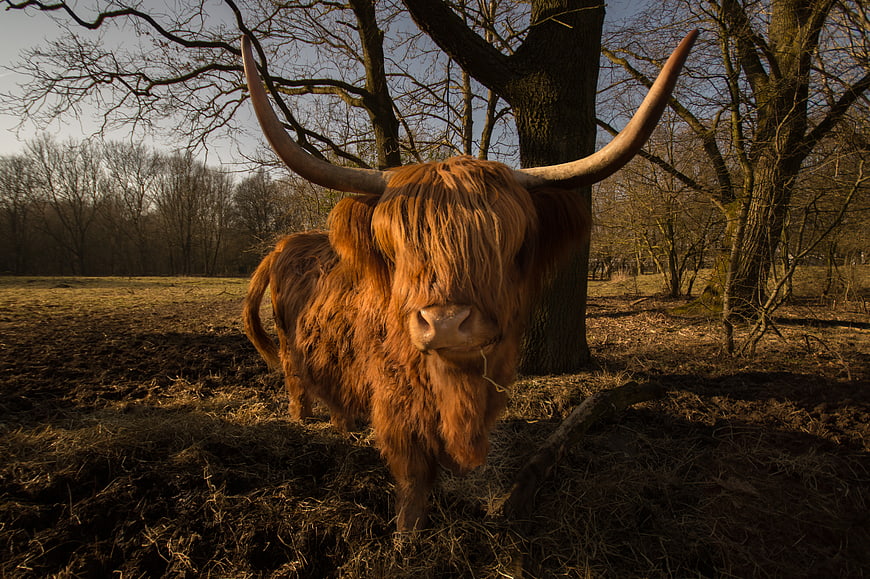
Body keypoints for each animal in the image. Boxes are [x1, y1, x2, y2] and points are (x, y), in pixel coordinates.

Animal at [241, 31, 697, 532]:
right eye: (396, 248)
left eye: (508, 243)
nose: (444, 323)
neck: (456, 388)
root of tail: (283, 245)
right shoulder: (397, 407)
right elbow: (413, 475)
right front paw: (408, 533)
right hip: (290, 347)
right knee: (296, 380)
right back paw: (304, 422)